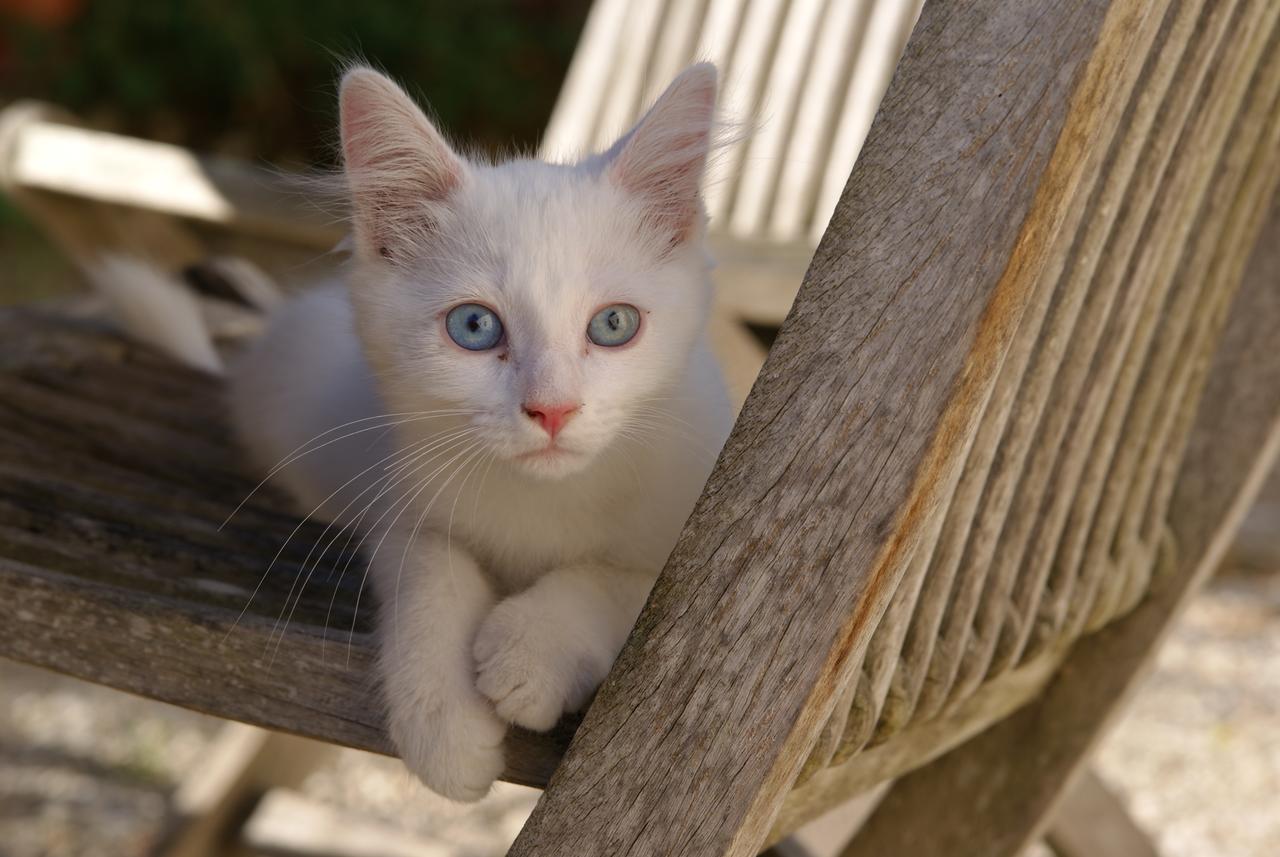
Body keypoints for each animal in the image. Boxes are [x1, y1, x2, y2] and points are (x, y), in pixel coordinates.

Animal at [230, 63, 732, 803]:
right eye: (474, 326)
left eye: (614, 325)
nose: (552, 409)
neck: (543, 501)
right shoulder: (402, 500)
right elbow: (430, 578)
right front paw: (442, 721)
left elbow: (628, 584)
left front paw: (534, 649)